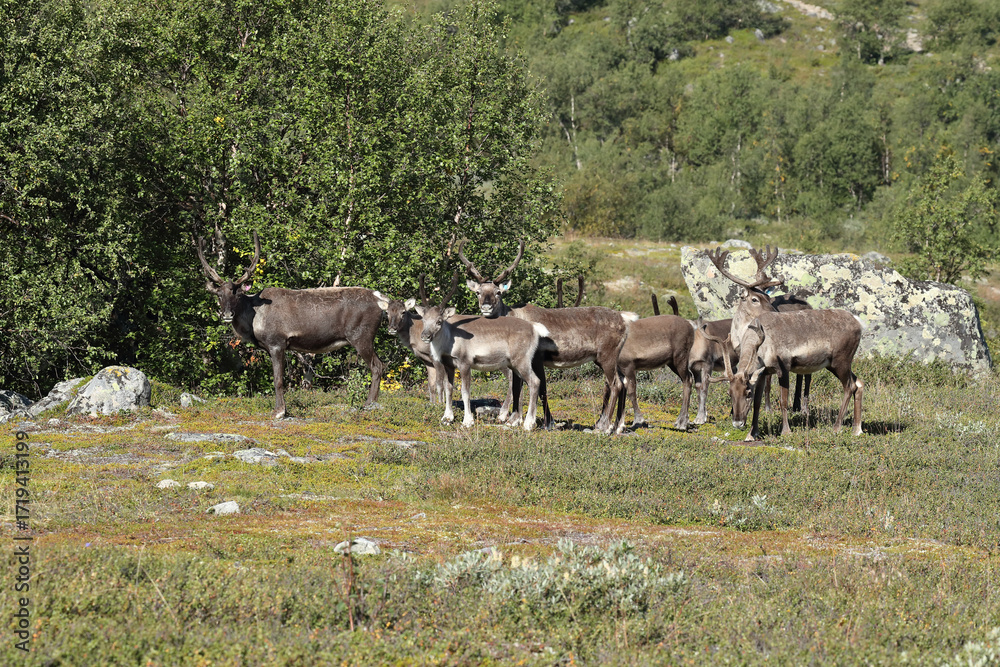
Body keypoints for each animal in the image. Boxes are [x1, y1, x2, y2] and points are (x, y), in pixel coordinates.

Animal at [197, 231, 384, 419]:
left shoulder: (277, 343)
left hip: (361, 336)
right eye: (219, 295)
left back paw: (369, 404)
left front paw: (280, 411)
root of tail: (382, 301)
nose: (227, 314)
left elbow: (278, 380)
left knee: (377, 366)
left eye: (237, 294)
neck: (253, 319)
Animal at [416, 271, 551, 431]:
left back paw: (529, 423)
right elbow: (448, 389)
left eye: (439, 321)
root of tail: (534, 327)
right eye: (423, 320)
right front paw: (447, 418)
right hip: (514, 364)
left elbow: (465, 392)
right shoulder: (449, 364)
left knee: (535, 382)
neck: (449, 339)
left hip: (522, 361)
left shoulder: (465, 363)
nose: (425, 336)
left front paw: (467, 421)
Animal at [458, 240, 637, 435]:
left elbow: (540, 387)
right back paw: (617, 425)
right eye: (478, 292)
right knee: (623, 382)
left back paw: (604, 427)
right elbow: (517, 386)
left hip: (607, 356)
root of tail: (625, 319)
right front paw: (516, 420)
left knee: (615, 384)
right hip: (608, 358)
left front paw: (542, 422)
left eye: (498, 292)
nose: (486, 307)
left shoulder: (536, 358)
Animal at [700, 309, 864, 441]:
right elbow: (758, 403)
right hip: (835, 365)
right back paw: (857, 430)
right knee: (859, 384)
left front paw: (786, 432)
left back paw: (837, 428)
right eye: (729, 393)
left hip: (840, 361)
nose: (737, 423)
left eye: (747, 393)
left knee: (849, 387)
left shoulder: (783, 368)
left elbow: (783, 401)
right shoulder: (763, 373)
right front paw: (752, 434)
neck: (762, 346)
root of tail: (859, 322)